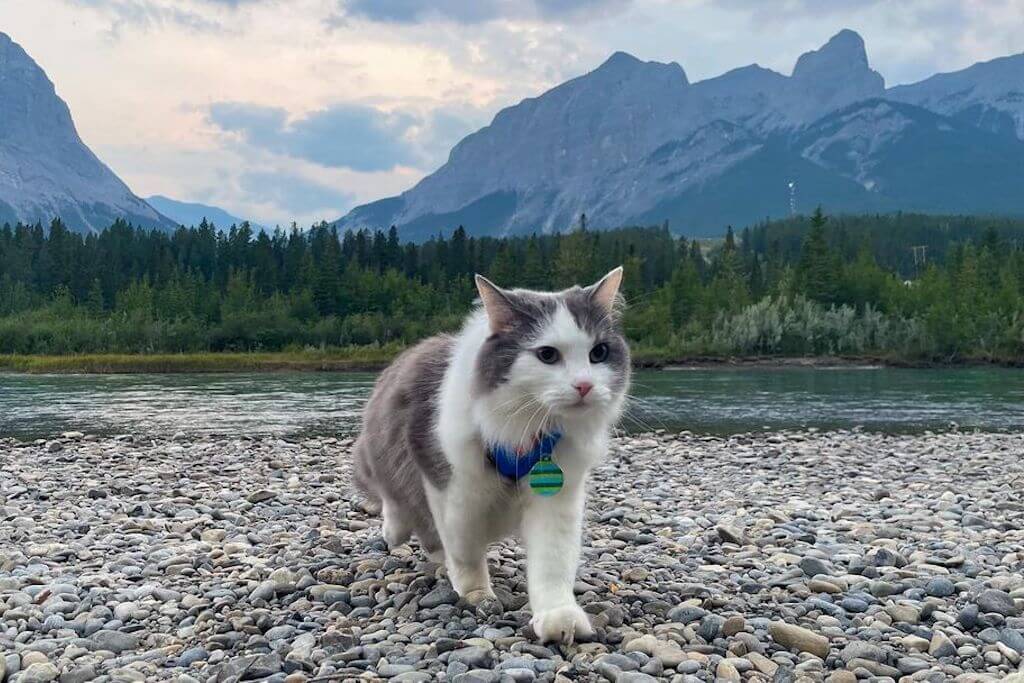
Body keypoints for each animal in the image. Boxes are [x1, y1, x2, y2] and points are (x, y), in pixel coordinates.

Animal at [354, 266, 630, 643]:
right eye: (547, 355)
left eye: (598, 352)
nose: (584, 385)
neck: (526, 433)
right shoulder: (451, 486)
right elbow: (465, 550)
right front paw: (476, 594)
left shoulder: (558, 497)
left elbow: (553, 564)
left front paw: (558, 617)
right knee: (397, 507)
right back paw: (399, 534)